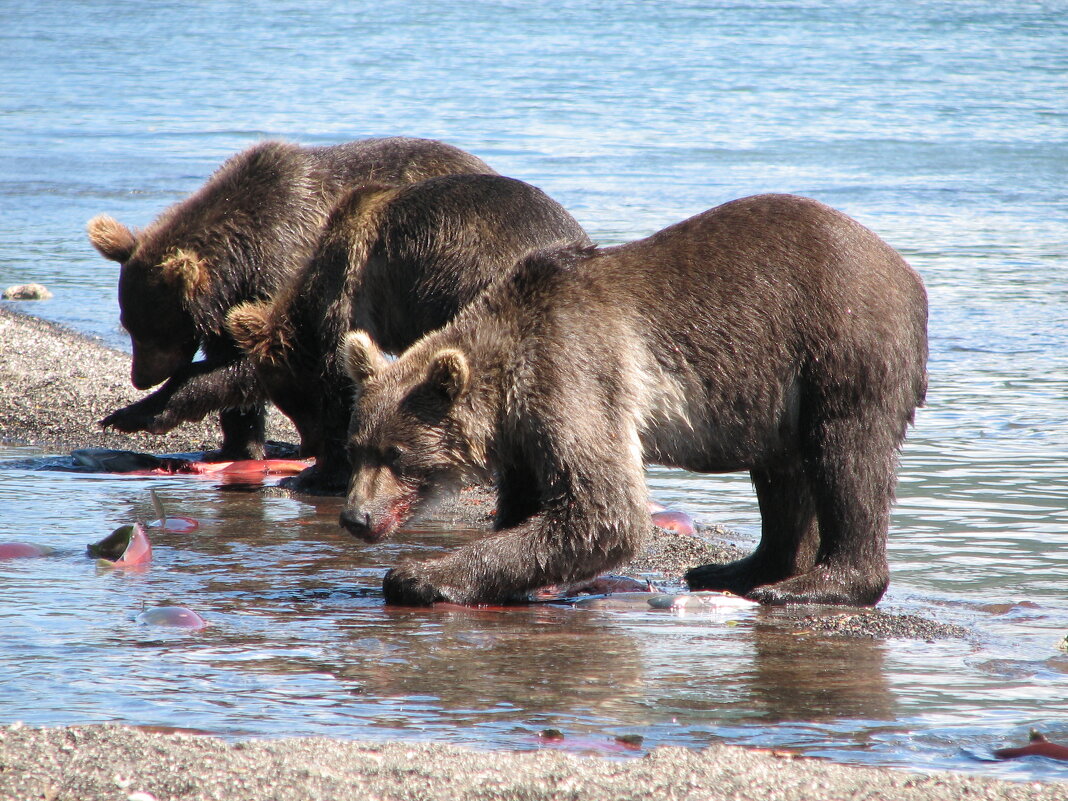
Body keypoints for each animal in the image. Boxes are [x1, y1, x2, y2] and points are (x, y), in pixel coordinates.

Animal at [87, 137, 495, 461]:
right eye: (129, 327)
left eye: (156, 333)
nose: (140, 377)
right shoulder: (232, 303)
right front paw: (238, 447)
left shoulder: (287, 270)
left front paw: (137, 414)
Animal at [335, 194, 927, 606]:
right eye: (356, 447)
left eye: (396, 455)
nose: (356, 517)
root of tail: (908, 275)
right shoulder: (526, 430)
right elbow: (532, 502)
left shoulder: (577, 373)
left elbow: (605, 510)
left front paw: (419, 574)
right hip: (771, 388)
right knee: (782, 473)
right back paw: (740, 569)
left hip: (841, 341)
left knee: (848, 457)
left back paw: (815, 583)